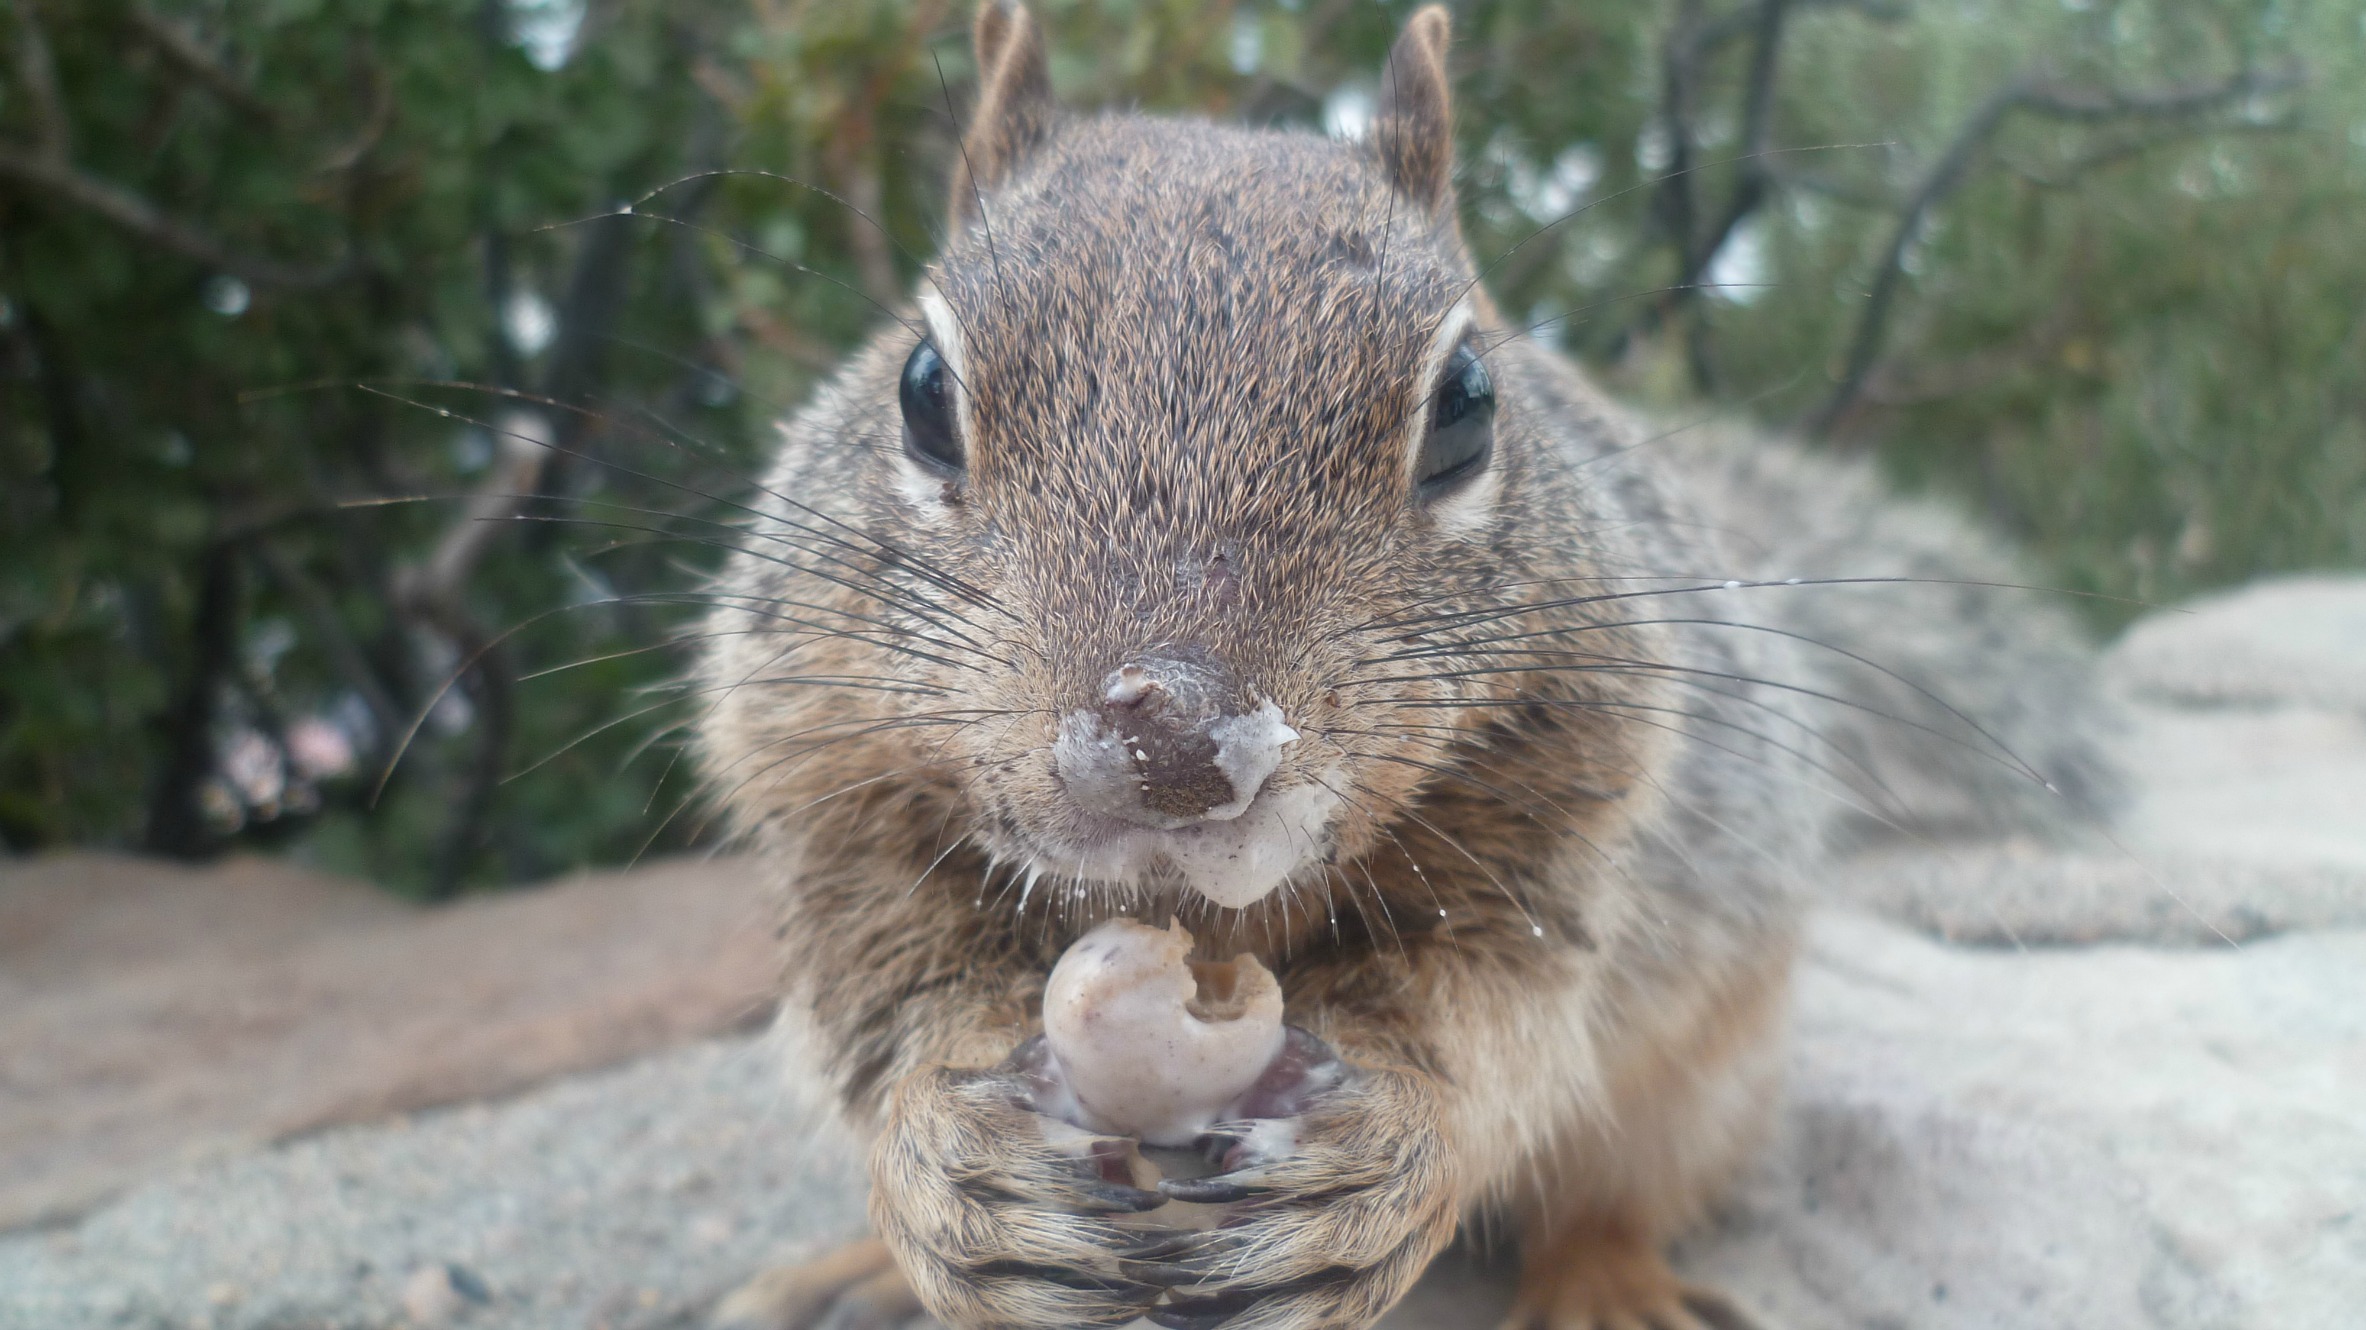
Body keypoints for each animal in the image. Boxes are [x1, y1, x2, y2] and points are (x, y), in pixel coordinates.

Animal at [690, 5, 2119, 1315]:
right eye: (922, 389)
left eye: (1469, 404)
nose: (1168, 747)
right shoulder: (827, 804)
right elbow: (883, 1010)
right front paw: (937, 1163)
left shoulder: (1568, 824)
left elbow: (1500, 1027)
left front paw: (1392, 1144)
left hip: (1711, 1070)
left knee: (1615, 1193)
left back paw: (1605, 1283)